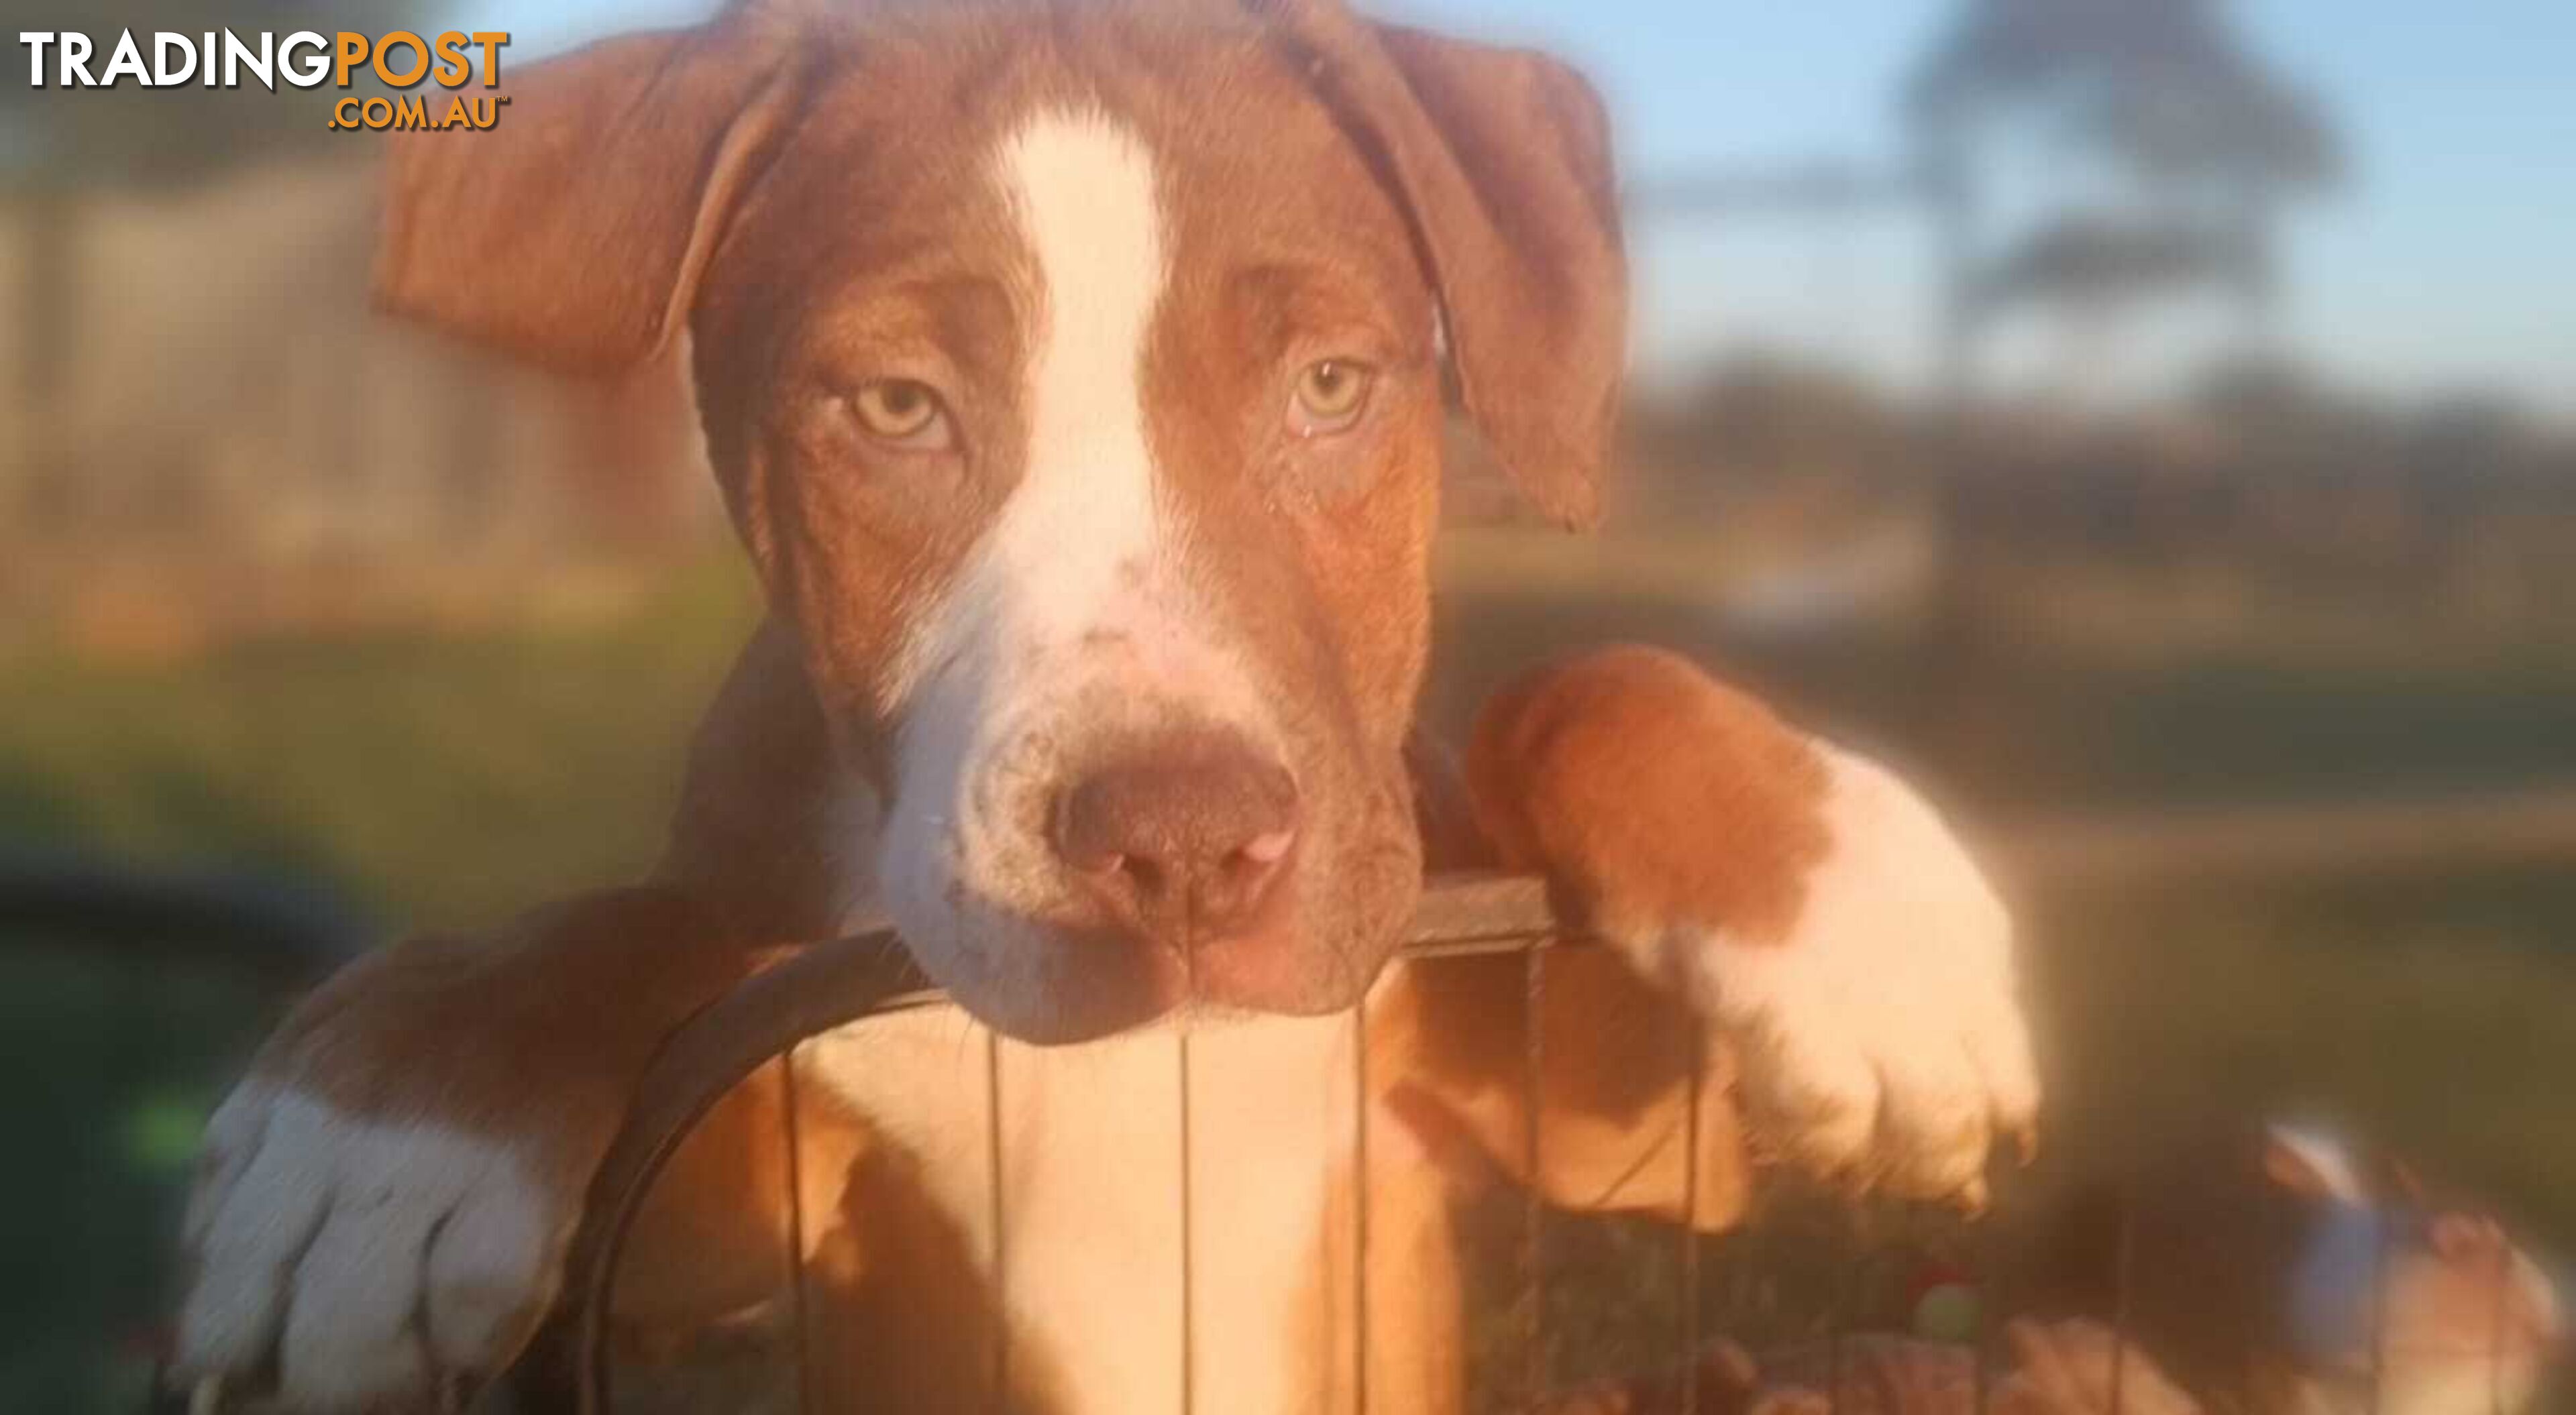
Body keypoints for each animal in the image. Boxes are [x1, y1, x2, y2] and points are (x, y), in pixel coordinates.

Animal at [171, 5, 2040, 1402]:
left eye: (1333, 385)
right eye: (895, 407)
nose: (1184, 845)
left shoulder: (1614, 1135)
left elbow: (1578, 681)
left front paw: (1845, 901)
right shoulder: (731, 1218)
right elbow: (651, 917)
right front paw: (388, 1121)